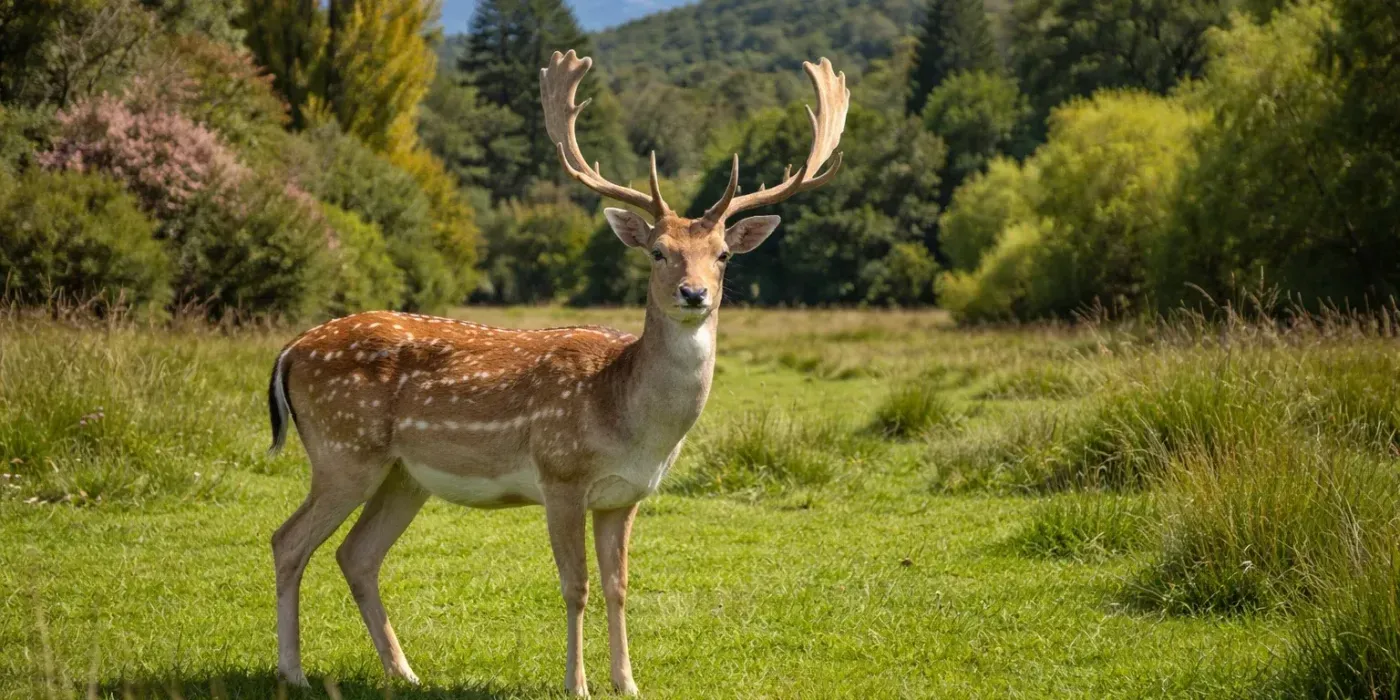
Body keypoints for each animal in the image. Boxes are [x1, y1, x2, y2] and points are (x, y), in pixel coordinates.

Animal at [265, 49, 848, 696]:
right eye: (657, 253)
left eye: (722, 255)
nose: (694, 293)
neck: (627, 418)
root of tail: (290, 350)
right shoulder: (560, 474)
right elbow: (577, 586)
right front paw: (578, 683)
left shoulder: (625, 496)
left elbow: (619, 586)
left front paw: (628, 682)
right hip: (344, 450)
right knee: (288, 541)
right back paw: (293, 672)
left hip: (402, 475)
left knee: (357, 555)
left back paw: (404, 672)